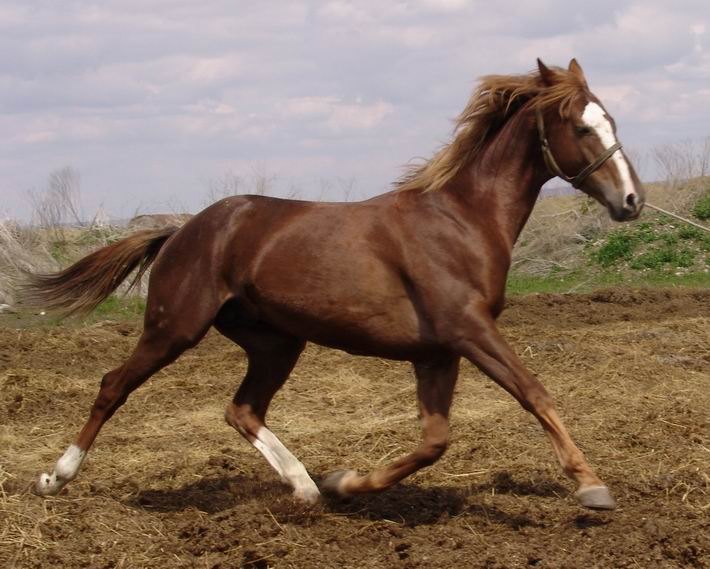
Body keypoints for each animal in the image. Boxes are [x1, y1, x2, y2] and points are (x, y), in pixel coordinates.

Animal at [25, 60, 644, 512]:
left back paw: (305, 487)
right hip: (173, 327)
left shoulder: (439, 352)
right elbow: (533, 392)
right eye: (582, 127)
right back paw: (55, 478)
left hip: (277, 342)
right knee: (114, 386)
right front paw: (592, 488)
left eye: (613, 120)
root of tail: (182, 230)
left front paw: (344, 481)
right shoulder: (469, 330)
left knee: (242, 410)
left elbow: (434, 441)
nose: (632, 201)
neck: (462, 220)